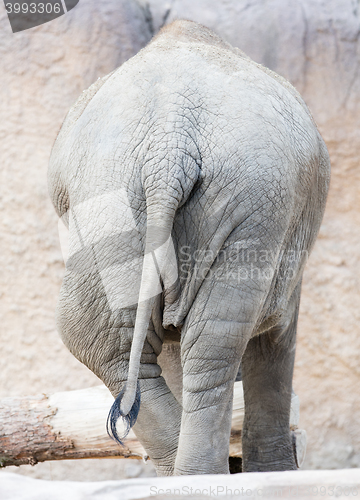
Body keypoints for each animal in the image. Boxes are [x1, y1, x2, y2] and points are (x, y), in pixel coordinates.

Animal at [47, 20, 330, 476]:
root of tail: (168, 144)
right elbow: (277, 335)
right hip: (246, 202)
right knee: (212, 340)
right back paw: (198, 475)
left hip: (111, 201)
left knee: (106, 338)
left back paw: (183, 475)